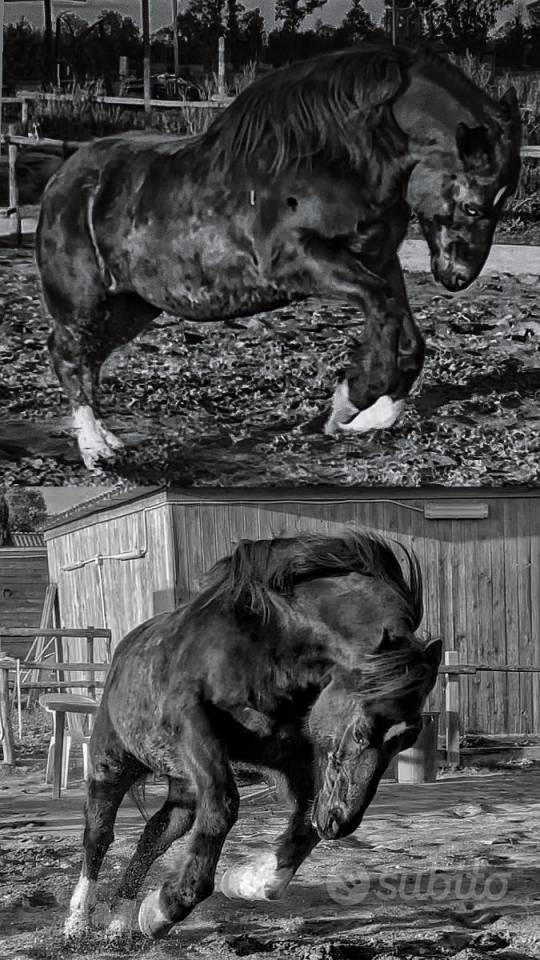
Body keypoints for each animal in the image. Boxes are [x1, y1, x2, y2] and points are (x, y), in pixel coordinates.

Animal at [36, 41, 520, 470]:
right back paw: (95, 449)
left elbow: (408, 338)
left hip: (132, 306)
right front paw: (347, 406)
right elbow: (385, 317)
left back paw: (109, 439)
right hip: (85, 302)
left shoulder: (380, 262)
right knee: (68, 354)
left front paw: (371, 415)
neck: (334, 163)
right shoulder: (299, 262)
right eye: (474, 206)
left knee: (89, 359)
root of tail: (62, 179)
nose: (458, 277)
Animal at [64, 531, 442, 941]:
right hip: (114, 764)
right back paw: (78, 922)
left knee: (157, 832)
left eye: (407, 742)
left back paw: (121, 919)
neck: (270, 647)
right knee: (98, 835)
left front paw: (246, 882)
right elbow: (224, 808)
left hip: (184, 786)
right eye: (360, 731)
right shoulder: (192, 727)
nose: (340, 822)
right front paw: (167, 908)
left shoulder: (289, 757)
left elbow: (304, 825)